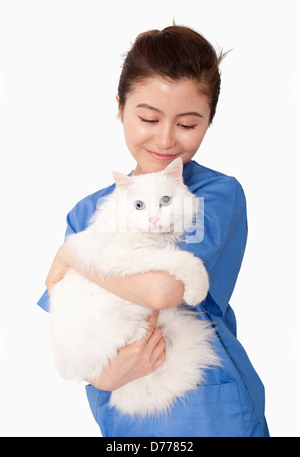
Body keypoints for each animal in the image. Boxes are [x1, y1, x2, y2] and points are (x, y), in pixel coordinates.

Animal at [48, 158, 218, 416]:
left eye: (165, 200)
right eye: (139, 206)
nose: (153, 219)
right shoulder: (127, 257)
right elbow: (184, 260)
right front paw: (196, 293)